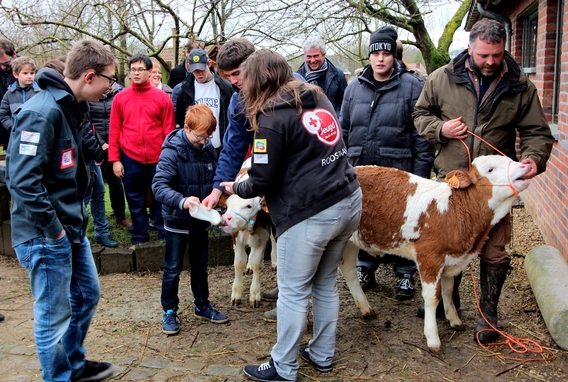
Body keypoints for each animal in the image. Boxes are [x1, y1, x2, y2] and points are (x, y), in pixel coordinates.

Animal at [220, 160, 278, 308]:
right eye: (228, 205)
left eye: (248, 206)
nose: (226, 219)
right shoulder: (236, 236)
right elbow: (239, 263)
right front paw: (236, 294)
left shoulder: (262, 235)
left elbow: (258, 263)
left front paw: (255, 295)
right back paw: (249, 265)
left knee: (273, 239)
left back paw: (274, 261)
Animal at [342, 155, 532, 352]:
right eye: (490, 170)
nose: (526, 165)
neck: (454, 210)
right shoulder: (429, 257)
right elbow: (432, 297)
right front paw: (432, 338)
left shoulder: (451, 259)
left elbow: (448, 291)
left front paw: (454, 320)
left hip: (350, 241)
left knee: (348, 270)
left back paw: (366, 308)